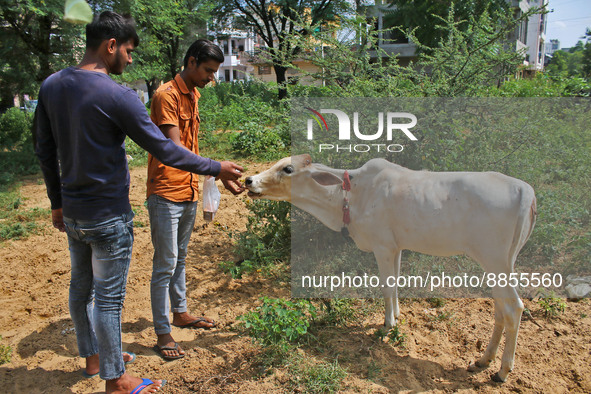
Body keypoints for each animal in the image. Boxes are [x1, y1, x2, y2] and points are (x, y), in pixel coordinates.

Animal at [245, 154, 536, 382]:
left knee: (514, 308)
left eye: (287, 169)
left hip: (494, 259)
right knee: (500, 310)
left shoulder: (383, 246)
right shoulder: (396, 248)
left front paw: (386, 325)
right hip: (500, 264)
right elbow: (395, 285)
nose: (249, 180)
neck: (352, 195)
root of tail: (525, 191)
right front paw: (396, 317)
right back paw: (483, 360)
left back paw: (502, 371)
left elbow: (386, 287)